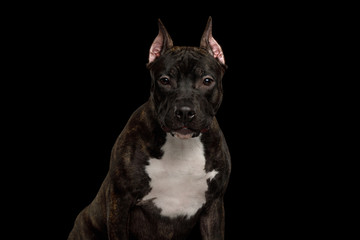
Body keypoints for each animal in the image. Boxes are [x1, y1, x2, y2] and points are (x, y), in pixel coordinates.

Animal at [68, 15, 231, 239]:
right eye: (165, 80)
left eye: (207, 81)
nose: (185, 111)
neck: (182, 145)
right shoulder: (120, 201)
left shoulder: (213, 207)